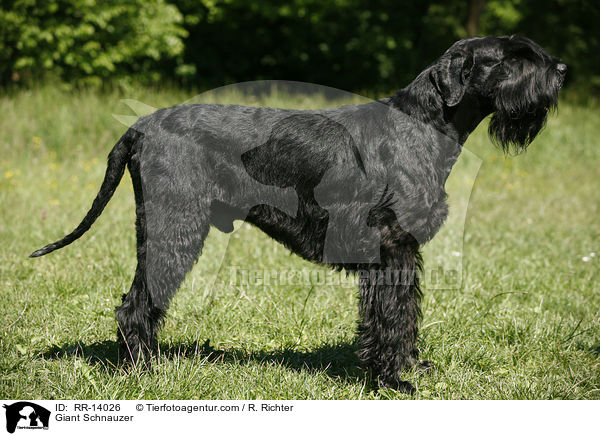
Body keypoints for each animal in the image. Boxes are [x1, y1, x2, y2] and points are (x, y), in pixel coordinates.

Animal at [30, 35, 564, 394]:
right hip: (174, 228)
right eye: (514, 57)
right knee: (135, 304)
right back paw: (143, 372)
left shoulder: (402, 256)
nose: (560, 68)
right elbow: (391, 316)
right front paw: (392, 382)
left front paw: (411, 366)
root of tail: (140, 127)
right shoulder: (391, 250)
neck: (425, 125)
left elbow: (404, 312)